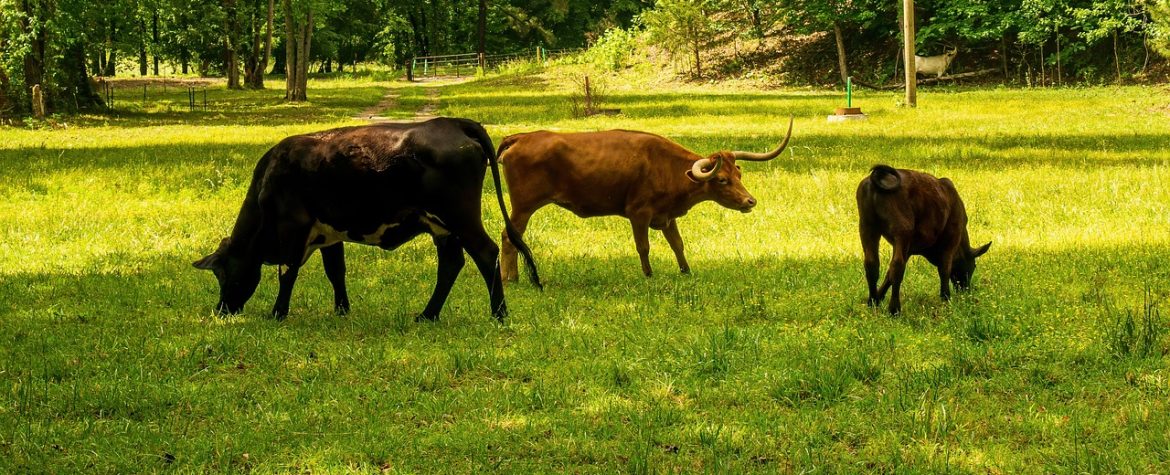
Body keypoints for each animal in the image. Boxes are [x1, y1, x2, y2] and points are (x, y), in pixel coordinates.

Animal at [191, 116, 538, 320]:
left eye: (223, 273)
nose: (222, 310)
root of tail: (451, 122)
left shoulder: (294, 226)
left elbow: (287, 273)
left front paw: (278, 312)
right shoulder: (328, 232)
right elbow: (336, 272)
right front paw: (342, 311)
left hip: (460, 216)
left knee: (486, 253)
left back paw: (499, 314)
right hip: (442, 227)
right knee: (451, 265)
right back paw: (428, 314)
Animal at [493, 118, 795, 279]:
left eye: (739, 174)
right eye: (722, 179)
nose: (750, 201)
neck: (667, 166)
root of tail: (522, 137)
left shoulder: (667, 216)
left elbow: (678, 245)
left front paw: (686, 271)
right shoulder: (638, 213)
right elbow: (643, 246)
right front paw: (648, 274)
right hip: (523, 207)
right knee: (509, 237)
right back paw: (510, 279)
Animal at [856, 164, 992, 313]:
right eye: (974, 266)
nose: (966, 290)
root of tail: (880, 175)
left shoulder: (908, 248)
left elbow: (888, 275)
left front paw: (879, 298)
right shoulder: (951, 239)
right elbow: (944, 269)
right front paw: (946, 298)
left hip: (867, 227)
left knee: (872, 264)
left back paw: (872, 301)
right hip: (902, 229)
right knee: (897, 266)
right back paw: (894, 309)